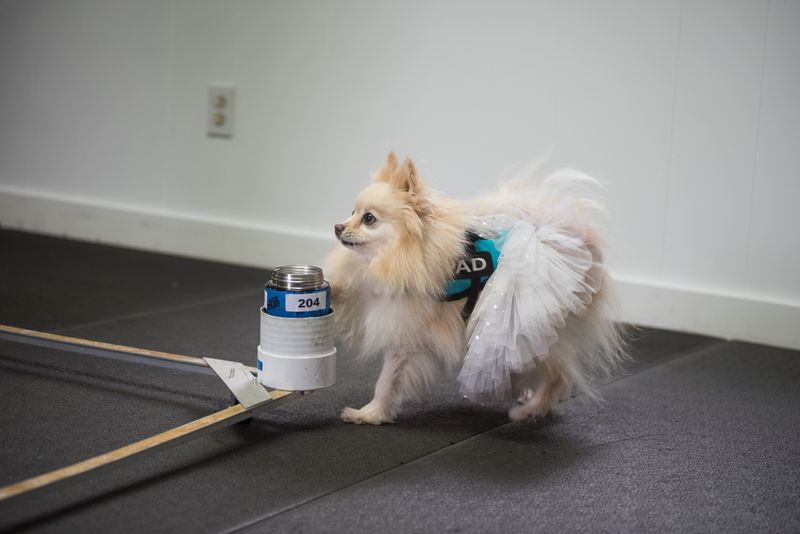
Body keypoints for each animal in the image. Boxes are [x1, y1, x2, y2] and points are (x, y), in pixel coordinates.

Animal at [324, 154, 624, 428]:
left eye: (369, 218)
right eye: (352, 212)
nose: (337, 226)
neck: (397, 256)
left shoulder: (405, 336)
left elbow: (386, 381)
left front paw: (369, 414)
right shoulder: (367, 291)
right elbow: (343, 290)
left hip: (533, 331)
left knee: (559, 375)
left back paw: (528, 411)